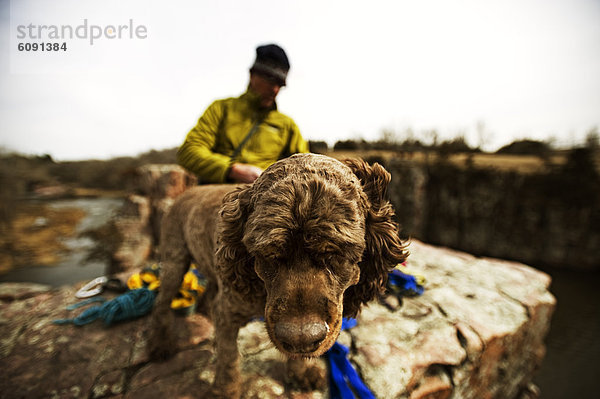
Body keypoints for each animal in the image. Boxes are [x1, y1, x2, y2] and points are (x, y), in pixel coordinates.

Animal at [147, 153, 406, 396]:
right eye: (268, 254)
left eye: (335, 253)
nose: (300, 338)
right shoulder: (228, 311)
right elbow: (228, 357)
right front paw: (225, 390)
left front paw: (300, 373)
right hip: (174, 260)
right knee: (161, 304)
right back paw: (160, 345)